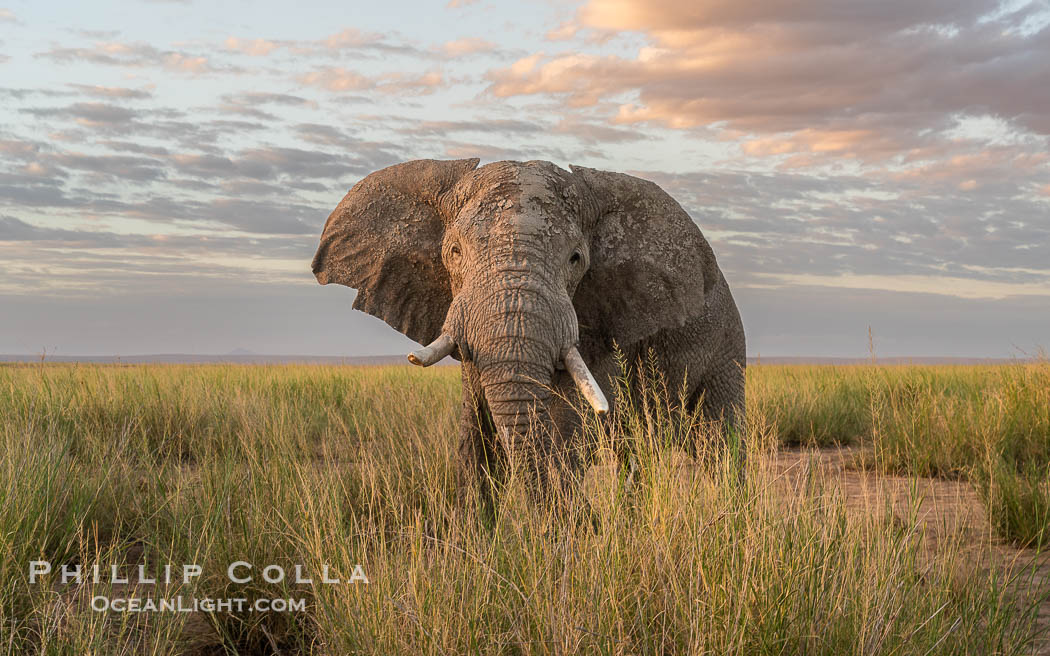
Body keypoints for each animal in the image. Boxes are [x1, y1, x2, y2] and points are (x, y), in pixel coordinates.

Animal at [310, 158, 747, 491]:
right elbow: (475, 436)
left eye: (575, 259)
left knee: (720, 442)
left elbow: (569, 428)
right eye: (454, 252)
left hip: (727, 341)